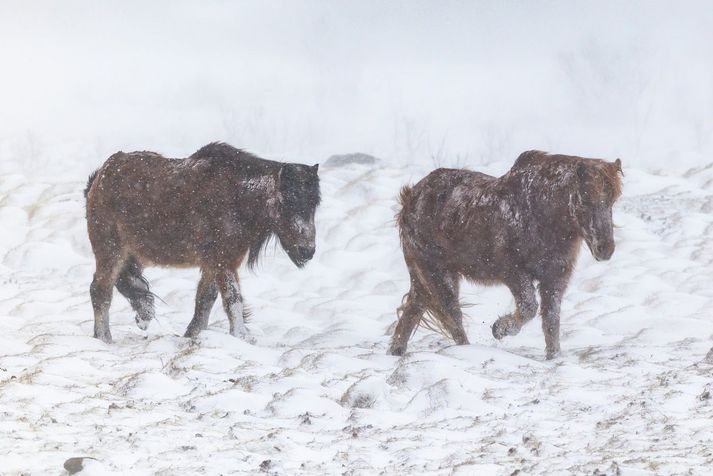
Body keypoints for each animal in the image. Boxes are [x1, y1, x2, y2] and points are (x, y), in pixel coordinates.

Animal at [83, 141, 320, 342]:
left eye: (315, 202)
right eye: (286, 202)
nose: (307, 250)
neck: (237, 197)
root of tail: (99, 177)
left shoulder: (214, 263)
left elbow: (205, 299)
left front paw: (193, 335)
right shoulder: (223, 261)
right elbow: (233, 298)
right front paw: (241, 336)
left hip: (130, 254)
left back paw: (143, 315)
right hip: (110, 250)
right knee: (100, 290)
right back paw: (104, 338)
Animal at [386, 151, 620, 358]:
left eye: (612, 201)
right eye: (584, 200)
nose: (606, 249)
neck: (540, 214)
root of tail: (410, 198)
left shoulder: (554, 279)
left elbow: (551, 322)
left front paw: (554, 357)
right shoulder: (514, 273)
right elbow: (529, 308)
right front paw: (499, 329)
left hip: (425, 279)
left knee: (412, 312)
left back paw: (396, 352)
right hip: (438, 276)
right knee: (452, 318)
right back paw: (466, 352)